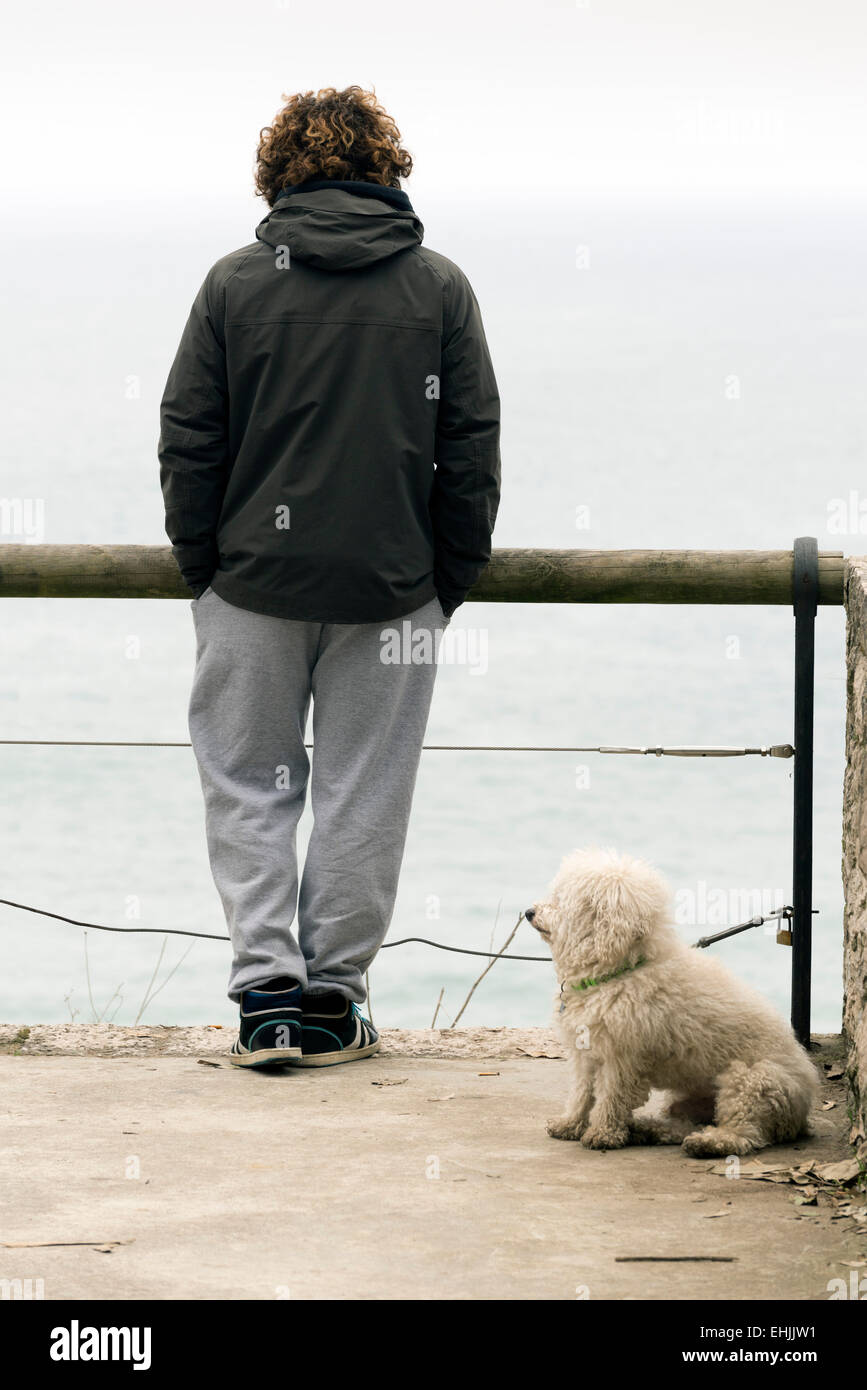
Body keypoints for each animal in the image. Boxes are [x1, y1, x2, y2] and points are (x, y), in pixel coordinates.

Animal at [527, 845, 816, 1150]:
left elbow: (610, 1098)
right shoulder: (586, 1052)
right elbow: (581, 1093)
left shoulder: (622, 1058)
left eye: (561, 900)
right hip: (686, 1099)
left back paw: (707, 1143)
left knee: (744, 1132)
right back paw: (650, 1129)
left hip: (751, 1081)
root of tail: (803, 1111)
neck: (621, 969)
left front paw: (603, 1133)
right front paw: (570, 1124)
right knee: (682, 1125)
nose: (528, 912)